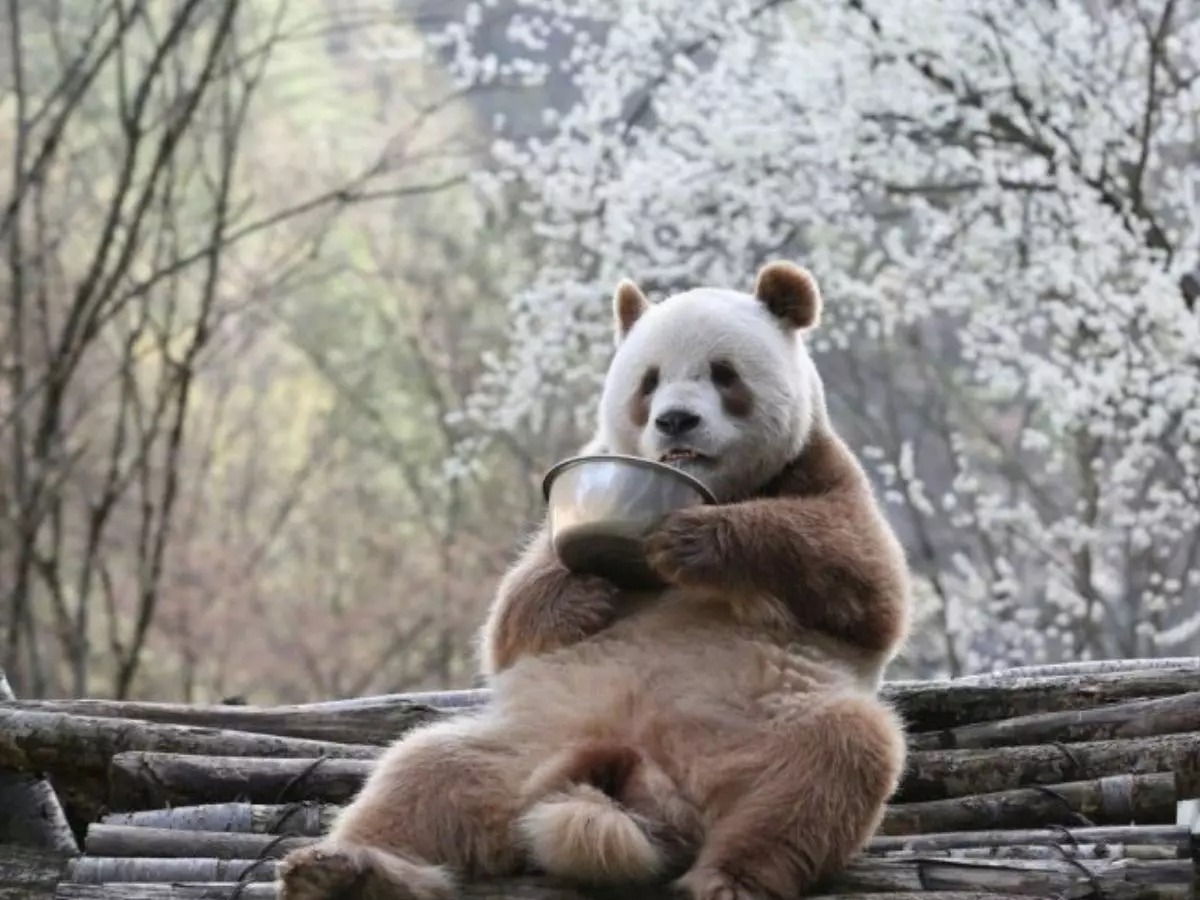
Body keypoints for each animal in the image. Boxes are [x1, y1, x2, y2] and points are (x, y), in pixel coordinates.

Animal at [276, 261, 913, 900]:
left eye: (724, 374)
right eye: (649, 383)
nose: (676, 420)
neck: (722, 487)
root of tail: (642, 784)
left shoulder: (817, 468)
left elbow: (865, 579)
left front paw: (695, 541)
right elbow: (507, 626)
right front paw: (584, 596)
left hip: (756, 731)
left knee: (830, 764)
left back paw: (726, 879)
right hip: (526, 744)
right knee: (424, 775)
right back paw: (346, 869)